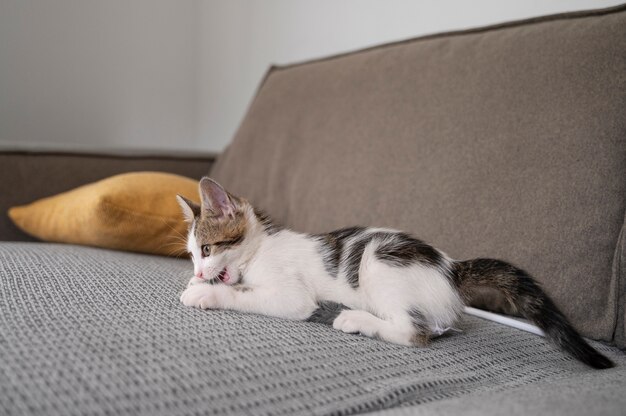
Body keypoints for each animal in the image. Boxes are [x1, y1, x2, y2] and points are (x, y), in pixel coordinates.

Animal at [174, 177, 608, 368]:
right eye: (192, 256)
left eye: (208, 250)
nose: (199, 272)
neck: (261, 248)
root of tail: (451, 268)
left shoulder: (291, 295)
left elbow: (249, 295)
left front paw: (204, 293)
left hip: (379, 262)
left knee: (414, 332)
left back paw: (354, 319)